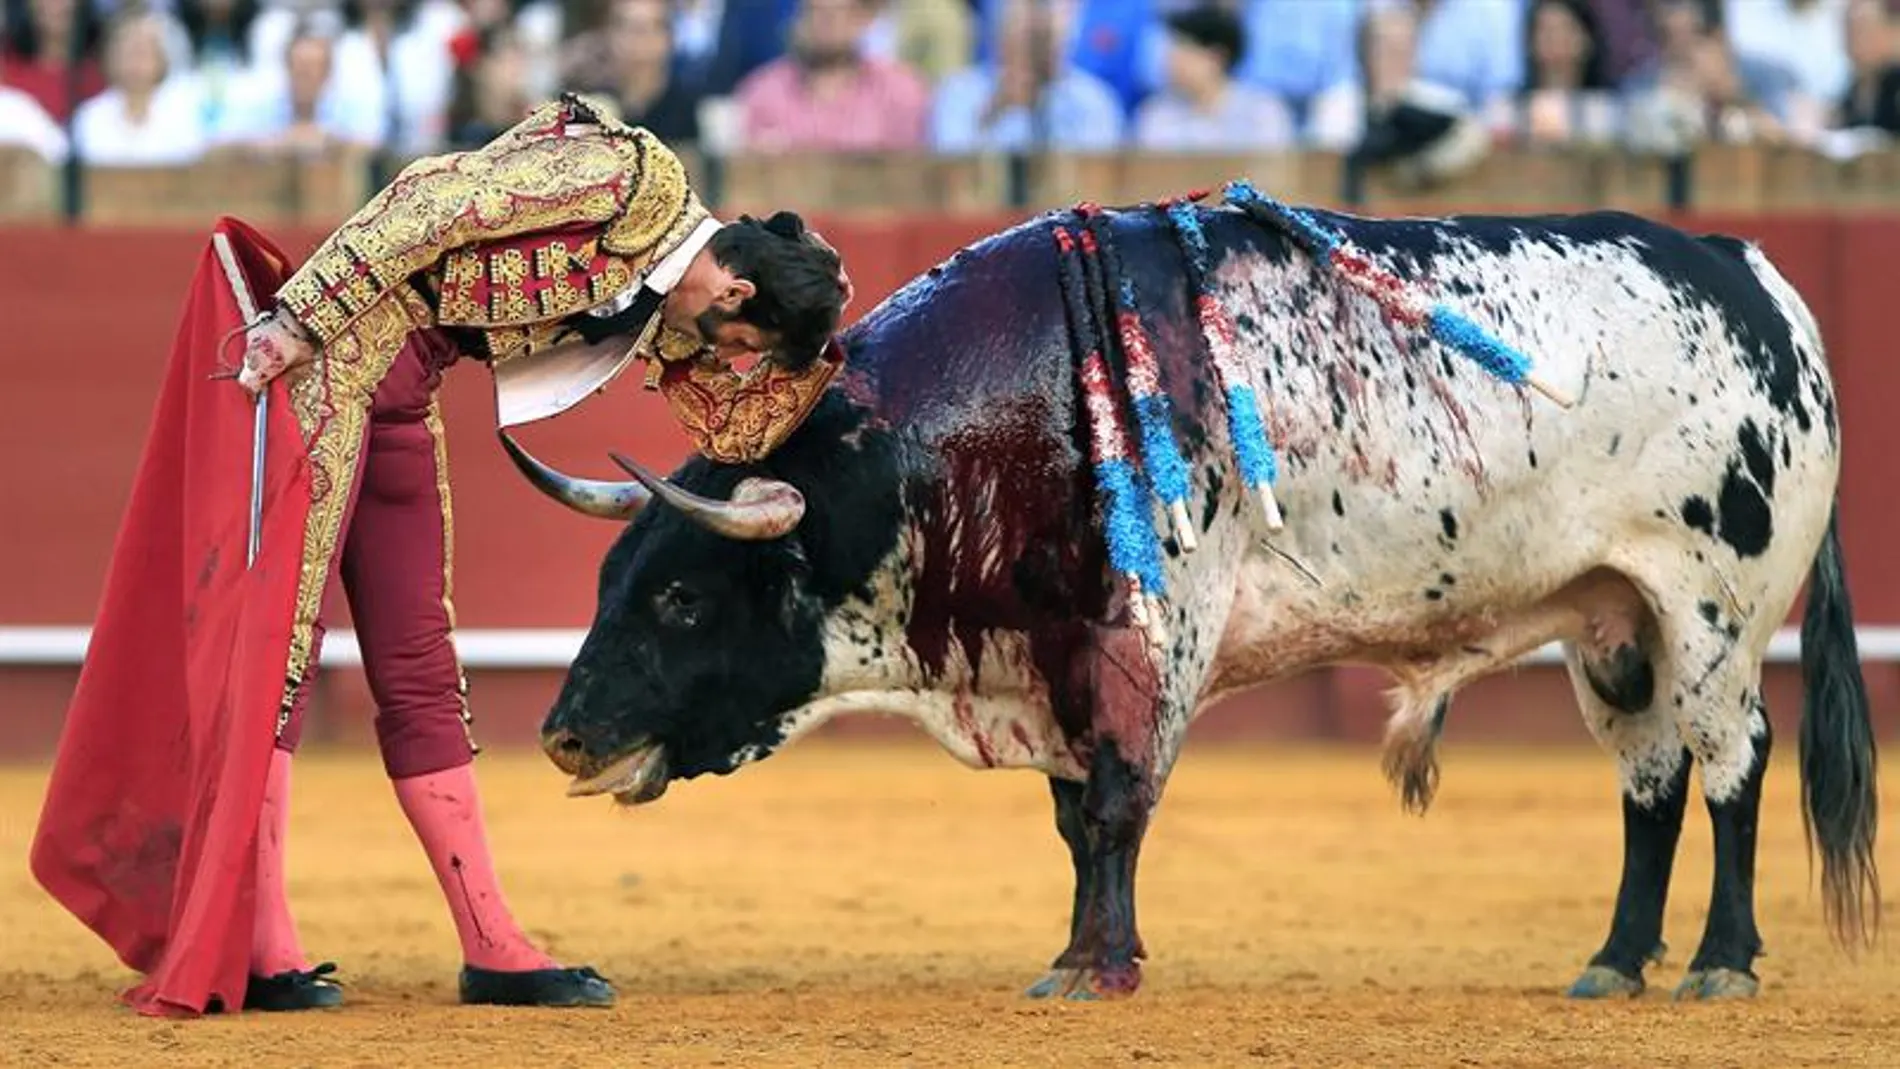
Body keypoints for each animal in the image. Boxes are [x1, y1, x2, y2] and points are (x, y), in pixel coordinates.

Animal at [501, 196, 1869, 1010]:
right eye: (616, 582)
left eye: (683, 598)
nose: (561, 735)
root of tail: (1754, 275)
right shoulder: (1052, 658)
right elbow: (1072, 820)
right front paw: (1074, 952)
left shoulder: (1146, 639)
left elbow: (1115, 807)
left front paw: (1099, 971)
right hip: (1610, 622)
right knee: (1649, 782)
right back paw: (1613, 963)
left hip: (1714, 609)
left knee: (1733, 764)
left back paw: (1719, 963)